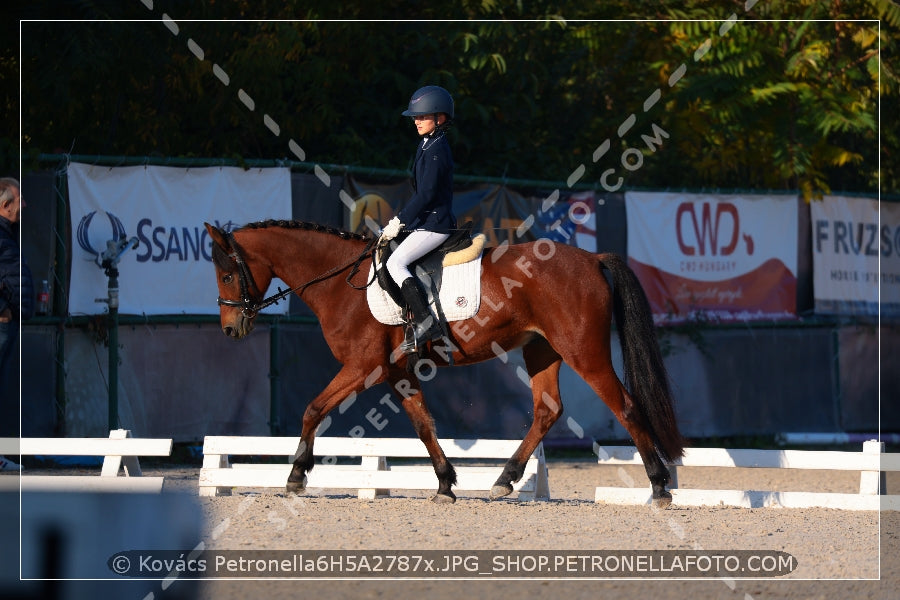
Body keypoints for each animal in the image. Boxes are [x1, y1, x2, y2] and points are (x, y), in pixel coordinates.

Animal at [202, 219, 684, 506]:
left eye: (226, 274)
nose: (230, 329)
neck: (342, 282)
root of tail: (591, 257)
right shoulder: (397, 373)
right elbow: (424, 425)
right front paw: (445, 483)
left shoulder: (362, 368)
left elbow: (313, 408)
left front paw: (296, 476)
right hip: (542, 349)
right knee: (547, 409)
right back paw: (504, 480)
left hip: (584, 352)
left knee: (625, 406)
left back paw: (660, 486)